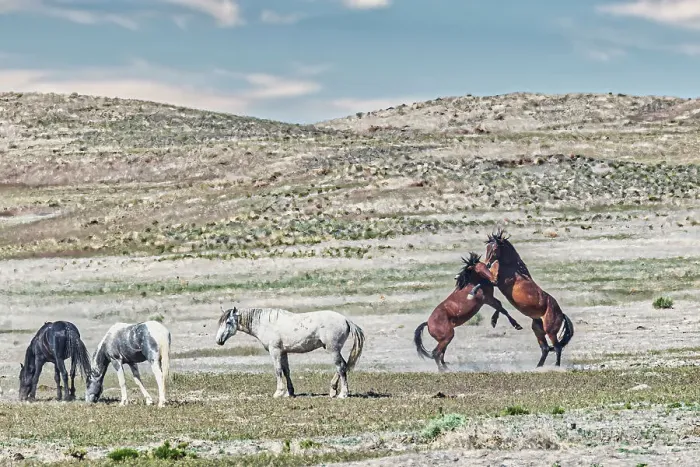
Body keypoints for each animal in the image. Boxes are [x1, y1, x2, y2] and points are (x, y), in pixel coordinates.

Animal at [216, 306, 365, 399]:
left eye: (228, 322)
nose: (218, 340)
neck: (265, 323)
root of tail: (345, 320)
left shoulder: (275, 351)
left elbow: (278, 370)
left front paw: (278, 393)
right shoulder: (283, 352)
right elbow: (286, 371)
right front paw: (290, 393)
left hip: (332, 350)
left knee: (341, 367)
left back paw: (342, 394)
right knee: (343, 366)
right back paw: (333, 391)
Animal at [483, 228, 574, 367]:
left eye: (495, 248)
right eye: (487, 247)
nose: (486, 264)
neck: (511, 266)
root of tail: (561, 314)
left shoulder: (496, 282)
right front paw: (494, 320)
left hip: (550, 331)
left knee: (557, 347)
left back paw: (556, 367)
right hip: (538, 329)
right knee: (545, 349)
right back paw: (538, 367)